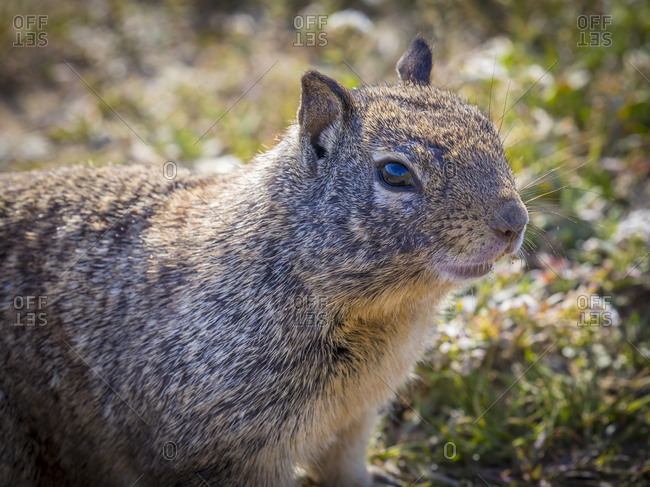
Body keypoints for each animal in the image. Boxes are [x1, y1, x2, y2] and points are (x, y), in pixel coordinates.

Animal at [0, 37, 528, 487]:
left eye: (490, 131)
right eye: (395, 173)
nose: (514, 221)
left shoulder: (353, 423)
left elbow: (347, 470)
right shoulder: (231, 452)